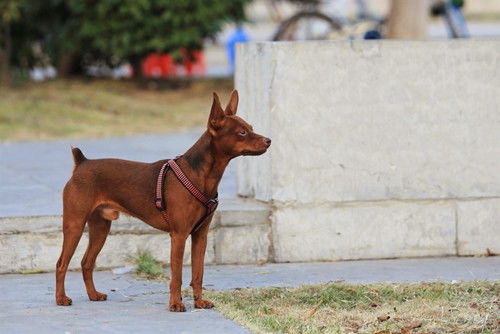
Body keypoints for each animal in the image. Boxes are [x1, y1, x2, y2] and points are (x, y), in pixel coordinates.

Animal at [54, 90, 270, 310]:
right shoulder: (179, 236)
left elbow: (198, 273)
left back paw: (93, 295)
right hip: (75, 225)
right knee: (62, 263)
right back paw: (61, 298)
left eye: (251, 128)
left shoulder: (200, 235)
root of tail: (82, 163)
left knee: (86, 262)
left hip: (100, 227)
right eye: (242, 133)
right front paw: (175, 304)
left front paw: (199, 301)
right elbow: (177, 276)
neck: (199, 174)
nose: (268, 140)